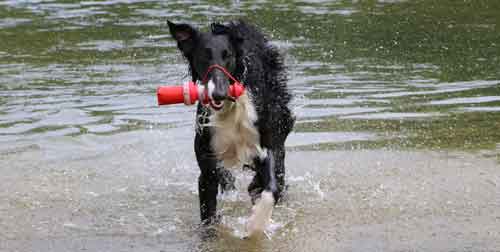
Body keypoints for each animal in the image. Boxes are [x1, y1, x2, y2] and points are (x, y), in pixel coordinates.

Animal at [168, 19, 294, 236]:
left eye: (228, 55)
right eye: (204, 55)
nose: (219, 93)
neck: (230, 109)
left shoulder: (264, 146)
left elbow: (271, 190)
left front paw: (255, 224)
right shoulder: (207, 163)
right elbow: (208, 213)